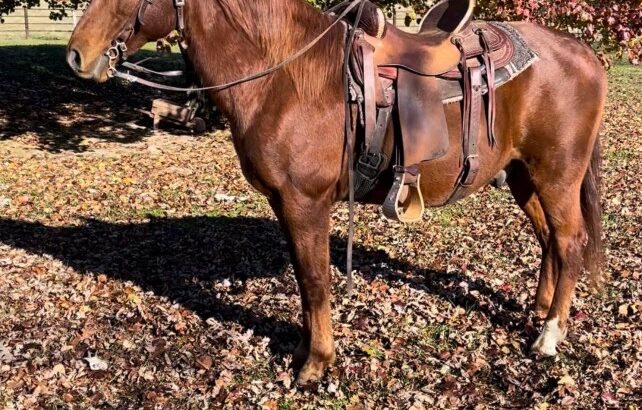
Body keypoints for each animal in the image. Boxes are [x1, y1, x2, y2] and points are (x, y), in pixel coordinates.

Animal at [66, 0, 604, 384]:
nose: (77, 54)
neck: (284, 78)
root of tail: (584, 54)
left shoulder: (307, 204)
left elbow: (316, 281)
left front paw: (316, 364)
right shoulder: (285, 205)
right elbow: (305, 283)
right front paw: (305, 351)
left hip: (556, 176)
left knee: (570, 241)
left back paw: (549, 336)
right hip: (524, 177)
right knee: (551, 242)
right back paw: (539, 312)